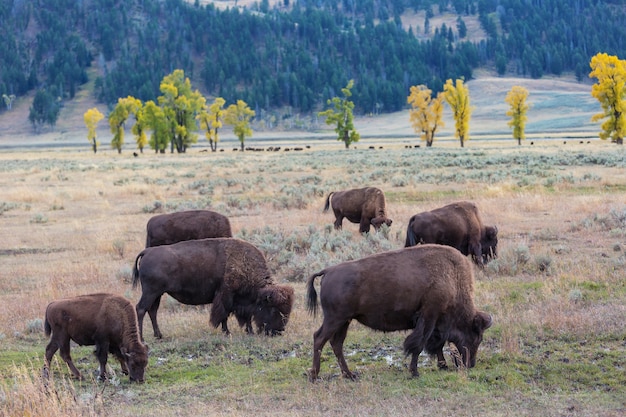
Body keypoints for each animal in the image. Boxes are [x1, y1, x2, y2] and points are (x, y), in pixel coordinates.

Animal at [130, 237, 294, 338]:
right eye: (273, 309)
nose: (279, 331)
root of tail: (147, 251)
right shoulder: (226, 296)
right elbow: (223, 315)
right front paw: (227, 332)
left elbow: (243, 317)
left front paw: (249, 332)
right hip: (151, 292)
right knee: (141, 309)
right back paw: (142, 338)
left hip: (157, 294)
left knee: (152, 311)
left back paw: (159, 335)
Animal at [304, 244, 490, 380]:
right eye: (477, 337)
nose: (470, 364)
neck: (452, 278)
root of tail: (328, 271)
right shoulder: (429, 316)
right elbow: (419, 344)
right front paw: (415, 372)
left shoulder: (435, 322)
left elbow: (436, 344)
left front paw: (441, 365)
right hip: (335, 319)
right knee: (319, 339)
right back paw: (314, 376)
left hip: (344, 321)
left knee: (336, 343)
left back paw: (349, 375)